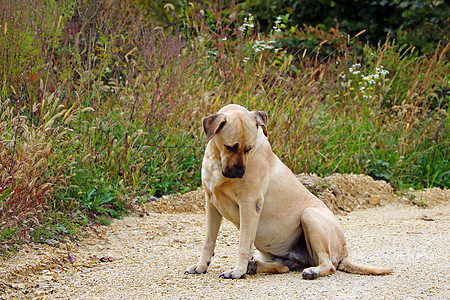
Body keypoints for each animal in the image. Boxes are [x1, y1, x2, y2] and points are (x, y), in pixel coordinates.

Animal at [185, 105, 392, 278]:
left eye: (249, 149)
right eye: (230, 147)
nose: (240, 173)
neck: (217, 159)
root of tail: (345, 252)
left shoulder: (250, 206)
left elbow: (243, 245)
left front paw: (237, 271)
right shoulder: (212, 204)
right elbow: (208, 242)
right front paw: (201, 267)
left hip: (310, 216)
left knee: (328, 265)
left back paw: (312, 271)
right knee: (283, 267)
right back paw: (255, 267)